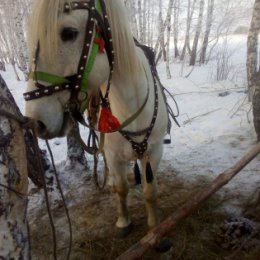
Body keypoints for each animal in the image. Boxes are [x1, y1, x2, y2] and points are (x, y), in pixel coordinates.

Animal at [24, 0, 169, 235]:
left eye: (69, 33)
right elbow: (121, 188)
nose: (36, 122)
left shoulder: (154, 151)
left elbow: (150, 190)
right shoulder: (113, 154)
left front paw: (155, 227)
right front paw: (123, 221)